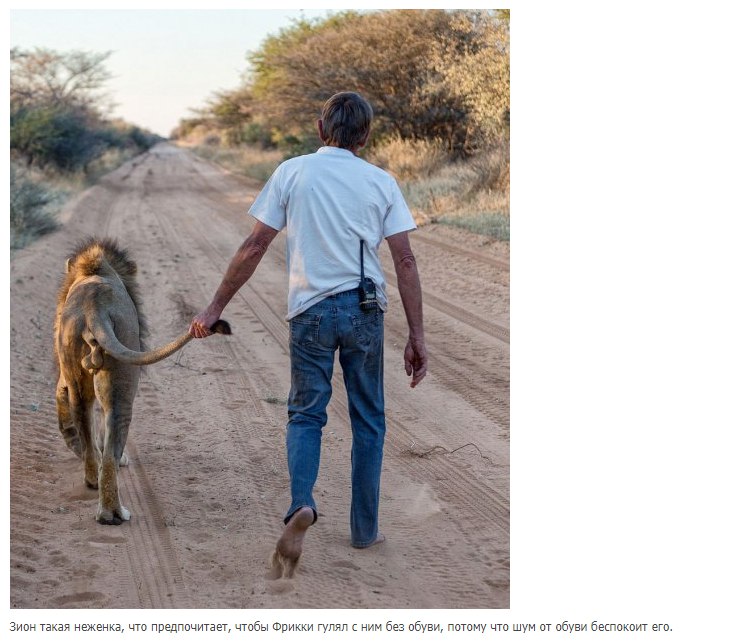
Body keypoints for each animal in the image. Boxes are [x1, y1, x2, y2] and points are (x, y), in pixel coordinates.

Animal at [54, 239, 229, 524]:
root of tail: (94, 308)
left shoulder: (65, 374)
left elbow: (62, 400)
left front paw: (72, 442)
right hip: (123, 378)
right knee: (112, 446)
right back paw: (112, 512)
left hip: (76, 370)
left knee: (84, 421)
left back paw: (92, 478)